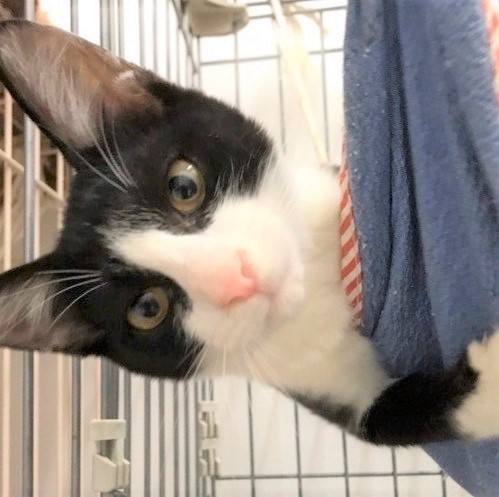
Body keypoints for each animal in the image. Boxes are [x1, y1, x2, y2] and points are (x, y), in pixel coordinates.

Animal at [0, 20, 497, 447]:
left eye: (184, 187)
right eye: (146, 309)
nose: (236, 277)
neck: (313, 293)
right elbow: (388, 420)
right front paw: (488, 381)